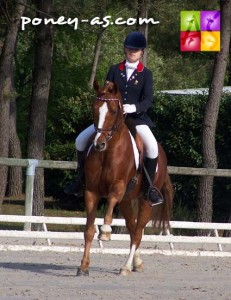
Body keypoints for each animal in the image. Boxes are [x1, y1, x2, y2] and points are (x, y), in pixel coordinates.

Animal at [77, 80, 173, 276]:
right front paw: (83, 266)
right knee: (132, 228)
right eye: (95, 108)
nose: (99, 144)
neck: (108, 152)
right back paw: (137, 263)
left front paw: (106, 231)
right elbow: (88, 230)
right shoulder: (91, 191)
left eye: (114, 111)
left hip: (145, 201)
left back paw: (127, 267)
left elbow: (111, 201)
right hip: (127, 201)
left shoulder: (118, 187)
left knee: (138, 232)